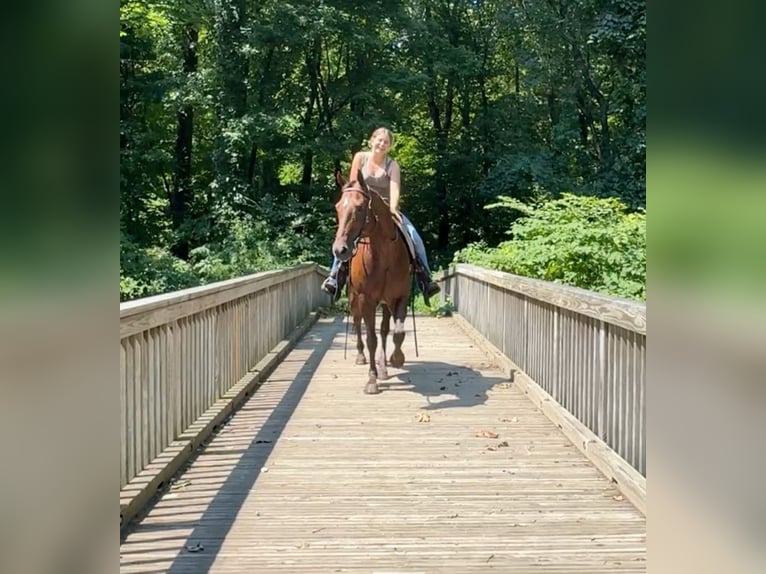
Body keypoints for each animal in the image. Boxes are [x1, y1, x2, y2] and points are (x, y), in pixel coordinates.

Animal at [332, 171, 414, 396]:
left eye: (360, 208)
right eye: (338, 207)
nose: (339, 250)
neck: (384, 255)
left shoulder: (400, 297)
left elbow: (397, 332)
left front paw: (396, 360)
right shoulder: (365, 299)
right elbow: (371, 339)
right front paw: (372, 380)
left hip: (385, 304)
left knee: (385, 330)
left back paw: (384, 367)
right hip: (354, 299)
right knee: (358, 324)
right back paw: (361, 357)